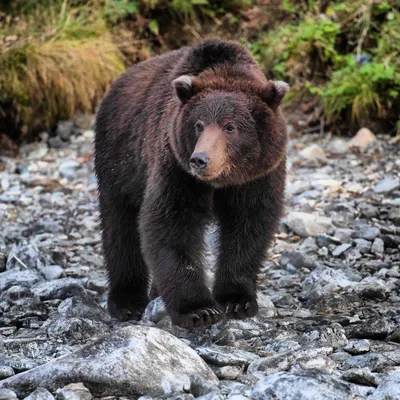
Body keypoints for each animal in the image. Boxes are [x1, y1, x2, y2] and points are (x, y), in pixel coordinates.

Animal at [94, 39, 288, 330]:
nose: (200, 159)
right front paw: (198, 309)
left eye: (230, 127)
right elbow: (171, 224)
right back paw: (127, 301)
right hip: (119, 161)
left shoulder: (259, 176)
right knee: (120, 226)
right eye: (198, 124)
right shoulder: (176, 168)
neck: (221, 182)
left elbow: (250, 223)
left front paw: (237, 300)